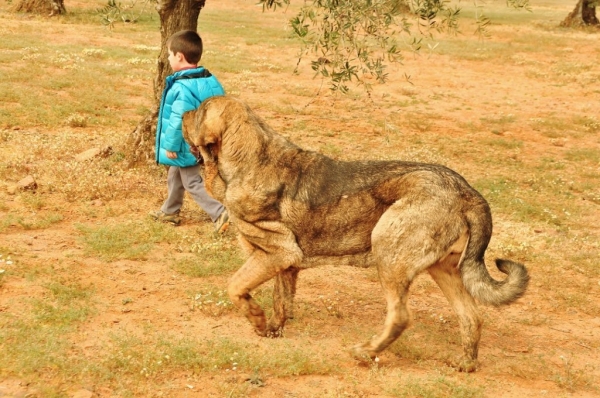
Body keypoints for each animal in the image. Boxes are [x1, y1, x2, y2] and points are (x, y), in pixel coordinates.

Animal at [180, 95, 528, 372]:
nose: (182, 113)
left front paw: (256, 318)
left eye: (200, 110)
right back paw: (466, 363)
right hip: (443, 269)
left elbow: (235, 287)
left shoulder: (274, 253)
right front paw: (273, 329)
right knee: (471, 315)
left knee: (400, 317)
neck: (252, 158)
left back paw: (366, 352)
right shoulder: (286, 264)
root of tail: (467, 191)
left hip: (388, 249)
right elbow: (281, 300)